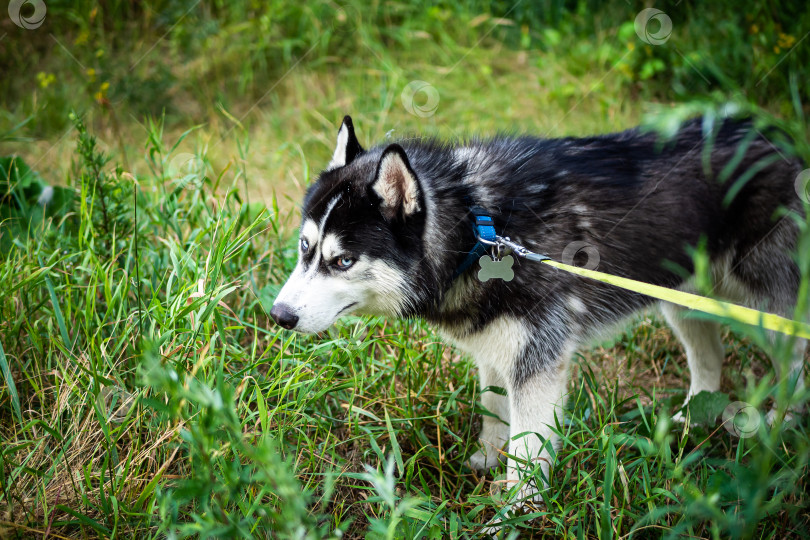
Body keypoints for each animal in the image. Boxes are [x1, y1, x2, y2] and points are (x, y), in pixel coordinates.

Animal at [272, 116, 800, 504]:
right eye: (304, 247)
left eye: (343, 261)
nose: (279, 316)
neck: (478, 230)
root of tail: (771, 131)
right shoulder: (494, 348)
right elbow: (493, 412)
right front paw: (487, 459)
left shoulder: (537, 362)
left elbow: (527, 455)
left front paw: (512, 515)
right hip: (681, 299)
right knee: (710, 360)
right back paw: (691, 421)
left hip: (763, 306)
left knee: (794, 357)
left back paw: (780, 423)